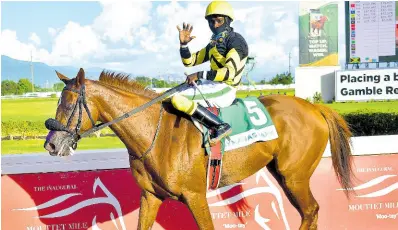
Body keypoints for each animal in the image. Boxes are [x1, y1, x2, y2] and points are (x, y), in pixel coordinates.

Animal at [43, 68, 354, 230]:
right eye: (58, 102)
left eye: (69, 105)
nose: (50, 144)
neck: (155, 134)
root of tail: (314, 107)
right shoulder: (150, 196)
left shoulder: (195, 195)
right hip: (283, 174)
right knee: (310, 212)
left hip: (294, 176)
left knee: (311, 210)